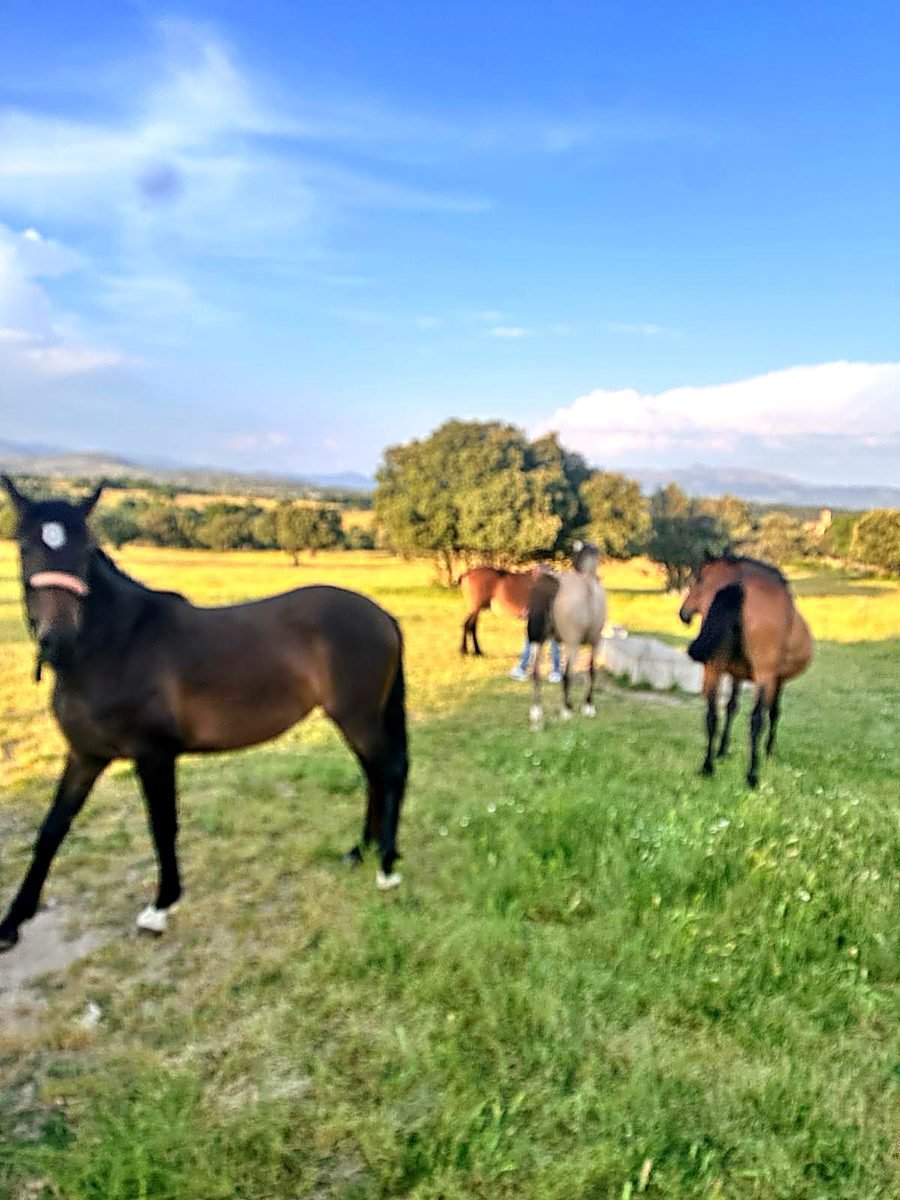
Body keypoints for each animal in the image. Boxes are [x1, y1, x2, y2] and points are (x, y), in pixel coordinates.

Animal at [0, 476, 409, 953]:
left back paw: (386, 867)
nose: (58, 640)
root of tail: (381, 615)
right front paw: (12, 922)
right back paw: (359, 851)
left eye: (84, 548)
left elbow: (162, 827)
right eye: (25, 545)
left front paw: (161, 907)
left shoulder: (153, 755)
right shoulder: (85, 756)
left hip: (358, 719)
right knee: (374, 776)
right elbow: (51, 831)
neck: (115, 646)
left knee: (389, 773)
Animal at [525, 541, 607, 728]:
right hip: (572, 642)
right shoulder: (596, 641)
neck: (587, 578)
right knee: (566, 675)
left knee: (536, 672)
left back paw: (537, 715)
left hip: (542, 641)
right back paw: (566, 710)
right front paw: (588, 706)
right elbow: (591, 671)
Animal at [679, 551, 813, 788]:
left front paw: (722, 751)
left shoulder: (735, 675)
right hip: (763, 675)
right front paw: (769, 752)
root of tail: (738, 588)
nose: (684, 614)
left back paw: (707, 767)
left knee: (712, 715)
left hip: (714, 669)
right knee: (757, 720)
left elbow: (731, 707)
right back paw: (752, 775)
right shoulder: (775, 679)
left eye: (699, 580)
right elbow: (773, 712)